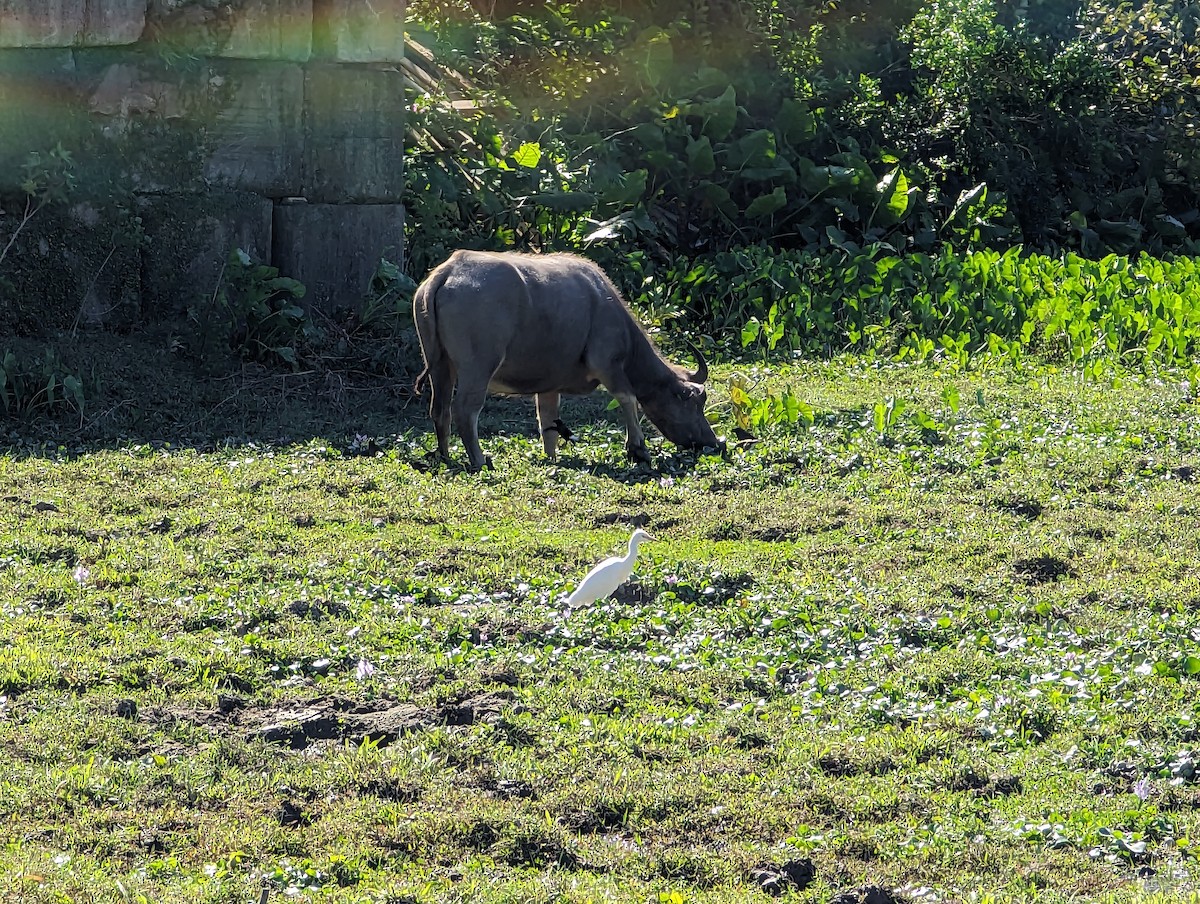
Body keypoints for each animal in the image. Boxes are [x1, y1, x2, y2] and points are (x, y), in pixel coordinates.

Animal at [412, 248, 715, 468]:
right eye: (692, 402)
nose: (714, 442)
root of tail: (448, 271)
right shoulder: (607, 363)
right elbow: (628, 398)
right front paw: (638, 449)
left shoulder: (549, 386)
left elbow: (548, 421)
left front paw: (551, 458)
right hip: (478, 366)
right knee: (466, 408)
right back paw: (479, 460)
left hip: (439, 364)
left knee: (440, 408)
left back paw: (445, 455)